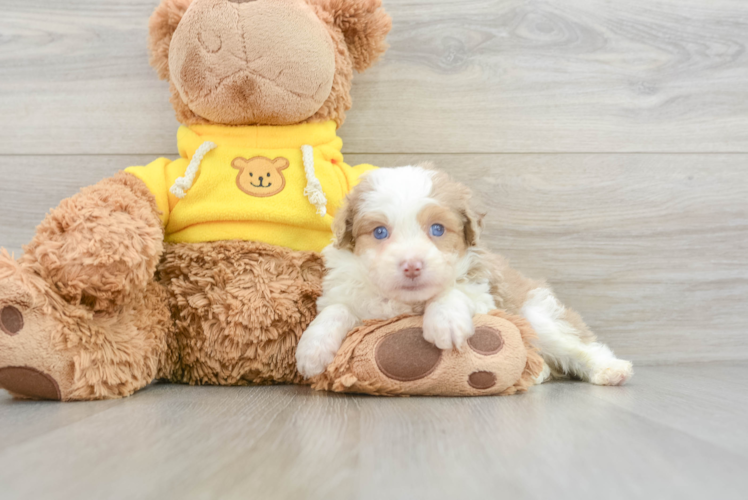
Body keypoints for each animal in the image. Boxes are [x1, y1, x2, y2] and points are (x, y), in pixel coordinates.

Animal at [296, 166, 636, 384]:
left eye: (437, 229)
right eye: (380, 232)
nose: (412, 266)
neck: (407, 302)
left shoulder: (485, 292)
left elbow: (454, 290)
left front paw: (444, 321)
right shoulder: (346, 291)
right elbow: (336, 309)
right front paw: (312, 349)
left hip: (538, 315)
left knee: (578, 345)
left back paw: (610, 370)